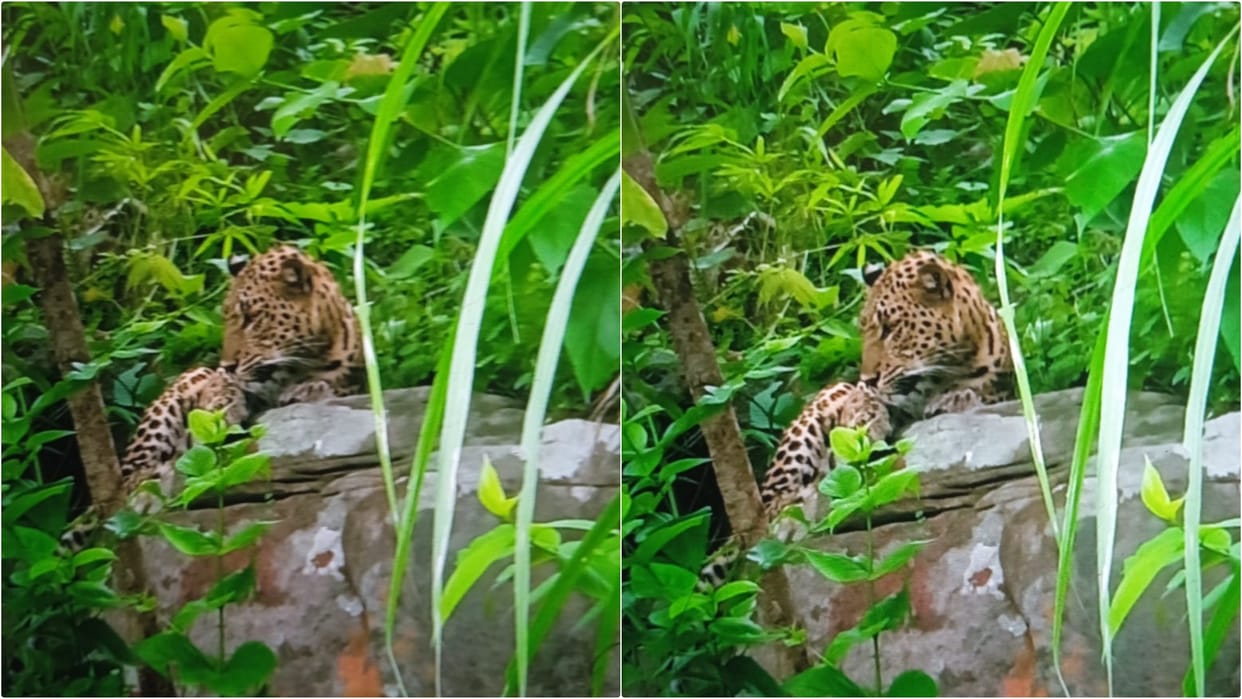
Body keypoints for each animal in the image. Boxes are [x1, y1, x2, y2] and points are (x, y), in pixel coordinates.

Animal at [700, 250, 1013, 586]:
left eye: (891, 328)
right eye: (864, 330)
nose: (868, 377)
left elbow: (979, 392)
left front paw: (956, 398)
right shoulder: (861, 392)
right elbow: (866, 401)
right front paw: (863, 422)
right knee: (770, 504)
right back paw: (790, 514)